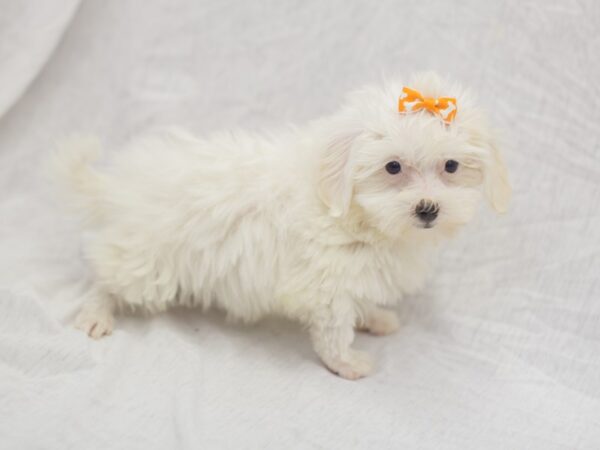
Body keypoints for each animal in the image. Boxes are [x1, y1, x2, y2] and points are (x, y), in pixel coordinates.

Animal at [54, 73, 508, 380]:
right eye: (393, 167)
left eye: (451, 166)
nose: (428, 209)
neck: (357, 214)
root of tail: (118, 186)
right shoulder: (327, 284)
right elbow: (334, 331)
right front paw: (347, 363)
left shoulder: (351, 275)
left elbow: (359, 300)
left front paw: (375, 317)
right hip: (148, 264)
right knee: (105, 277)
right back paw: (96, 314)